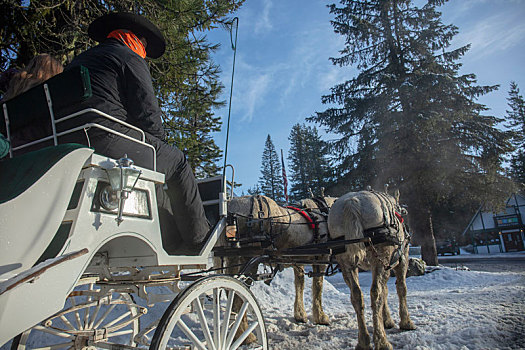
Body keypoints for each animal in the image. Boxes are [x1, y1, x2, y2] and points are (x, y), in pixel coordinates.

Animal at [330, 191, 416, 350]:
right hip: (381, 256)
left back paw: (363, 341)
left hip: (346, 262)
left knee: (356, 295)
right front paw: (406, 322)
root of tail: (351, 203)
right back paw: (381, 341)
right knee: (376, 293)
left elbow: (386, 291)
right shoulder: (402, 259)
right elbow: (401, 288)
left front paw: (387, 320)